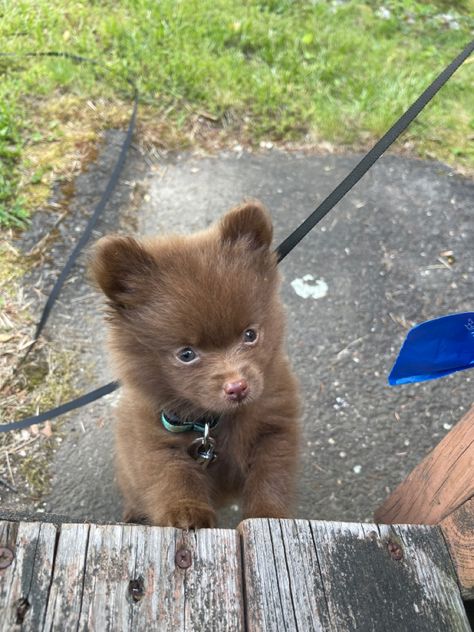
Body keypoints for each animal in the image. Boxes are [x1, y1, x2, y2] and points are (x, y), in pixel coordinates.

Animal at [91, 200, 300, 524]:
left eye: (250, 335)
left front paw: (268, 514)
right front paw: (186, 512)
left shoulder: (275, 424)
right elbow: (173, 476)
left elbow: (271, 473)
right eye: (186, 354)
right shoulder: (153, 441)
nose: (237, 387)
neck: (213, 422)